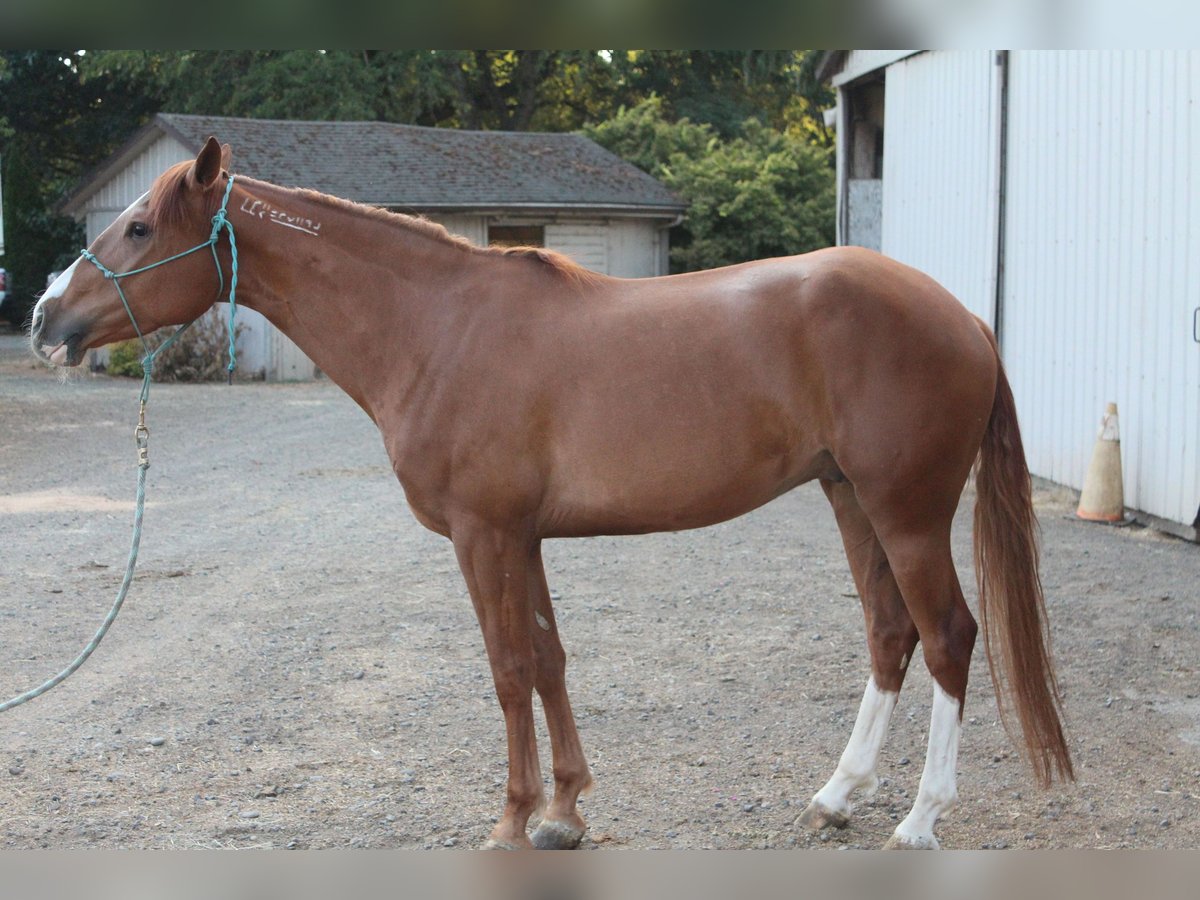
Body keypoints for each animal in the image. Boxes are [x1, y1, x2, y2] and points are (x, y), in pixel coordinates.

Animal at [28, 137, 1070, 849]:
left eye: (138, 227)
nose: (43, 318)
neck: (435, 327)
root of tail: (964, 315)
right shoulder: (521, 536)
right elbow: (551, 660)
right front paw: (566, 811)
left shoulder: (482, 535)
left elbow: (507, 671)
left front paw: (513, 821)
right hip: (850, 499)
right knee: (891, 636)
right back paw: (837, 796)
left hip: (907, 512)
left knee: (949, 637)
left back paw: (920, 819)